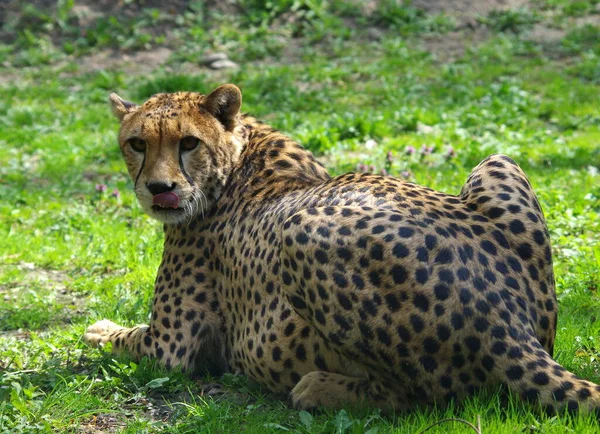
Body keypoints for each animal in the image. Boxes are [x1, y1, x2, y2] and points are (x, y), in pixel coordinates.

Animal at [84, 83, 600, 412]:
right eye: (137, 143)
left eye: (189, 142)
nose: (159, 189)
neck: (237, 156)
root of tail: (508, 322)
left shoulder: (169, 346)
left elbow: (122, 339)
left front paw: (98, 330)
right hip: (497, 161)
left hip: (298, 231)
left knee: (423, 397)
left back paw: (317, 389)